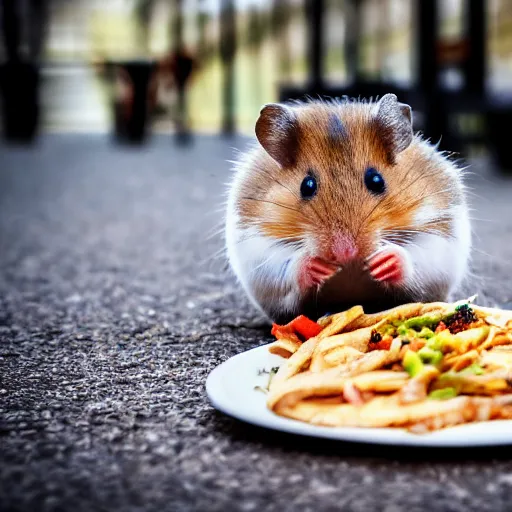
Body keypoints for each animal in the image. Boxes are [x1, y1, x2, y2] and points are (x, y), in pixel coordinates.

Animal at [225, 94, 472, 322]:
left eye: (376, 180)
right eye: (307, 186)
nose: (345, 253)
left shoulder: (440, 235)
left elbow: (415, 255)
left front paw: (384, 261)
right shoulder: (257, 244)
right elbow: (287, 263)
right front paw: (316, 267)